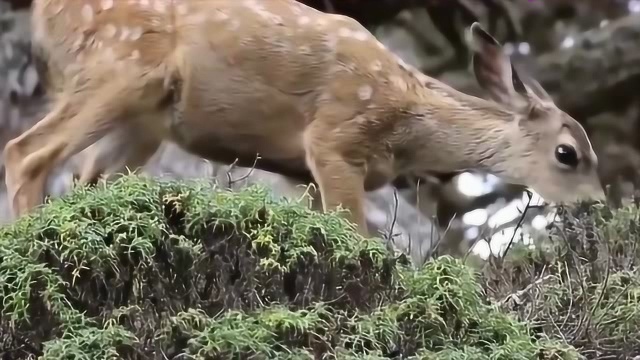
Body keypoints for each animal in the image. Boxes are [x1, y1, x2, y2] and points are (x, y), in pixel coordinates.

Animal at [6, 0, 604, 236]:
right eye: (568, 153)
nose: (598, 205)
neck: (408, 121)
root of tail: (40, 12)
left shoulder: (301, 171)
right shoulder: (335, 137)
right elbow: (359, 238)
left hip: (146, 120)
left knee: (85, 177)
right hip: (118, 66)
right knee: (25, 152)